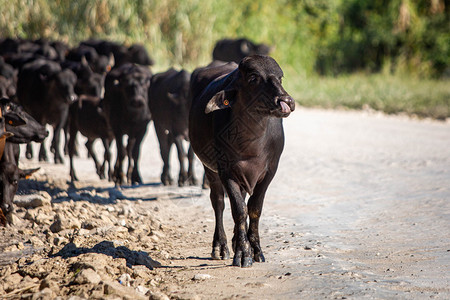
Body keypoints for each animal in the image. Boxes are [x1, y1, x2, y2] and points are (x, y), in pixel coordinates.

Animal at [189, 54, 296, 268]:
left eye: (280, 78)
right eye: (253, 78)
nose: (286, 101)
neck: (251, 144)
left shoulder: (270, 172)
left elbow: (254, 209)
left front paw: (255, 249)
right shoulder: (226, 171)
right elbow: (239, 210)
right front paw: (243, 253)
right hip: (209, 168)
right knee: (218, 202)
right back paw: (221, 246)